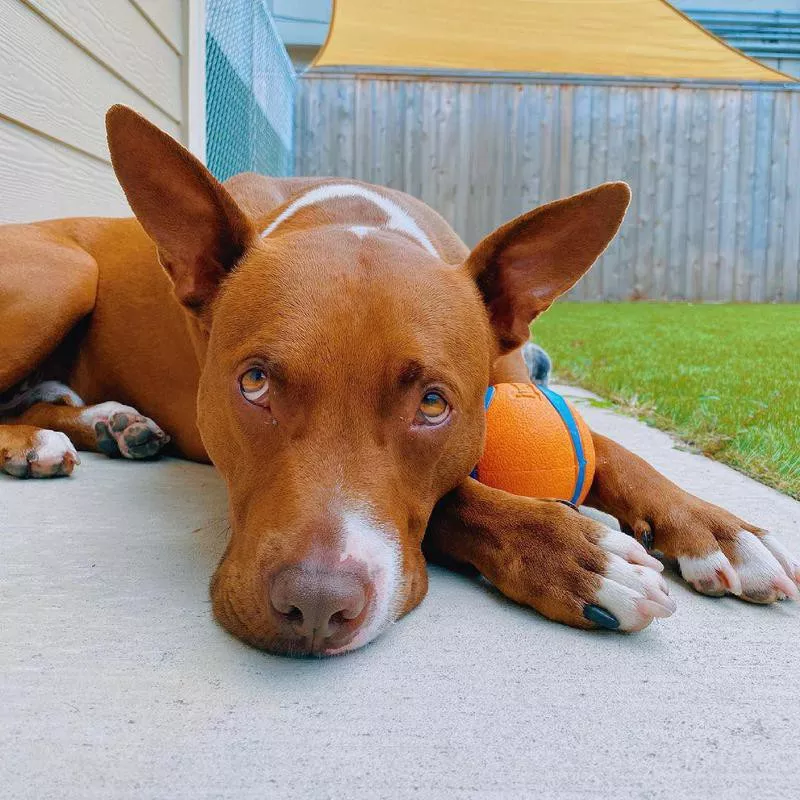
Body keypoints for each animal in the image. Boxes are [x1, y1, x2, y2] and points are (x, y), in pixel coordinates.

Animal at [1, 106, 800, 656]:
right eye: (254, 384)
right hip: (62, 271)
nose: (314, 607)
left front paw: (718, 528)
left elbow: (618, 452)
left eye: (433, 404)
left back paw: (108, 423)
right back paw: (34, 445)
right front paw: (579, 556)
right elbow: (456, 501)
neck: (353, 212)